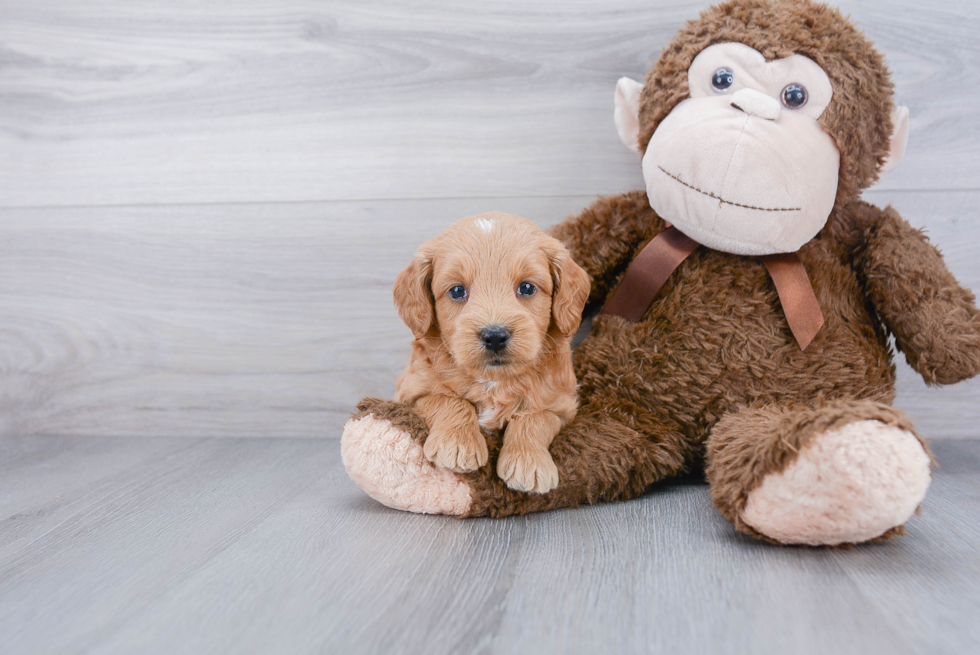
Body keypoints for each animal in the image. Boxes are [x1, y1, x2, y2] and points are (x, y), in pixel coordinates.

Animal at [390, 213, 588, 494]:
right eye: (457, 291)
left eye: (527, 288)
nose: (494, 335)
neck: (494, 381)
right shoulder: (411, 390)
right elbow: (448, 399)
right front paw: (457, 444)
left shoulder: (562, 405)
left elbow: (535, 418)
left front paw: (529, 463)